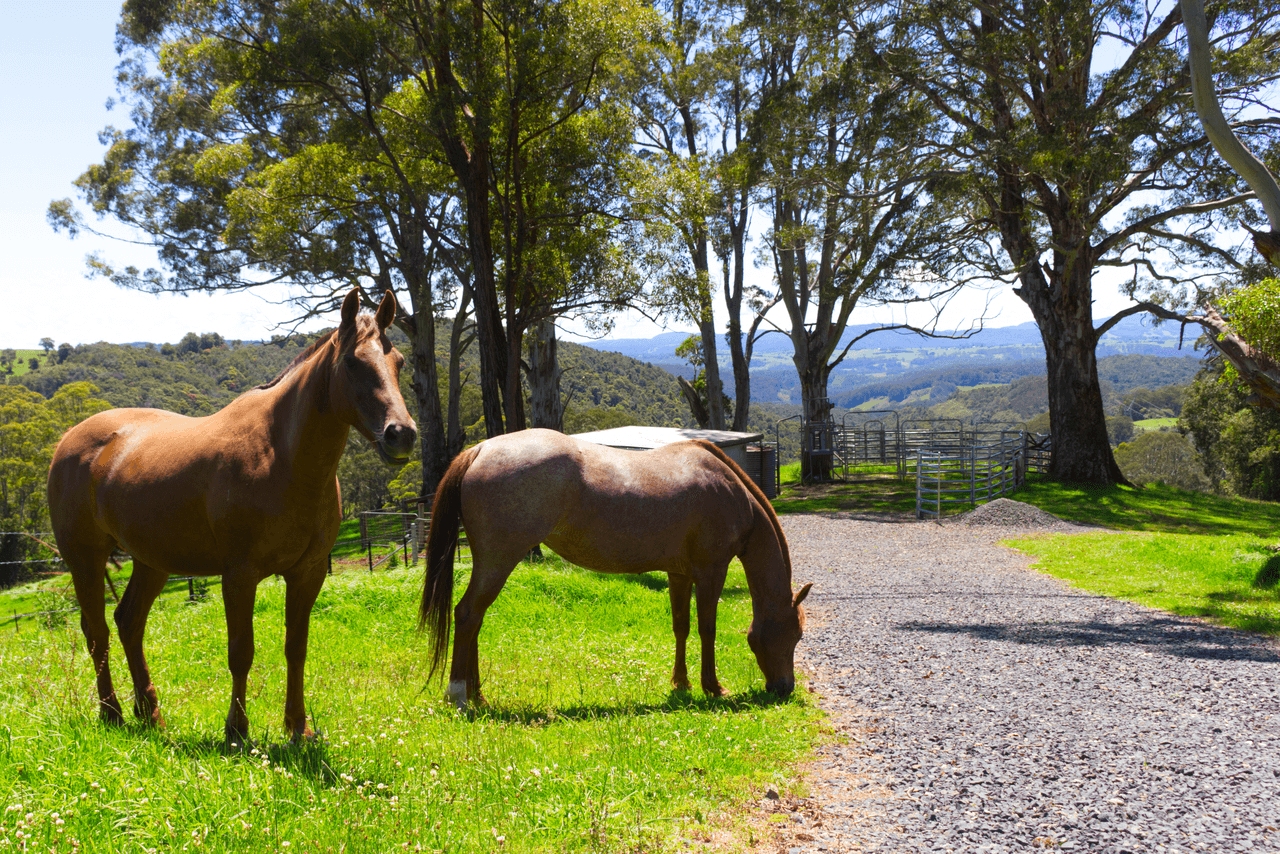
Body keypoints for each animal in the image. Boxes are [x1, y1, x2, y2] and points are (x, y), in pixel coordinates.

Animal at [43, 289, 414, 742]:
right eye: (351, 362)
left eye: (399, 362)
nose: (401, 434)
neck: (282, 456)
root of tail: (69, 440)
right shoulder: (239, 574)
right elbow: (241, 651)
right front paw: (236, 730)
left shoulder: (306, 573)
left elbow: (296, 647)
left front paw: (298, 728)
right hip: (85, 558)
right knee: (97, 631)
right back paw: (112, 714)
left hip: (153, 562)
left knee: (128, 622)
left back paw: (150, 715)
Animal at [424, 430, 814, 711]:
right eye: (795, 634)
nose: (784, 688)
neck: (731, 491)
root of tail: (480, 450)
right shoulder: (710, 572)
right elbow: (707, 630)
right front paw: (712, 687)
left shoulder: (680, 574)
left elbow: (681, 627)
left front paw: (681, 683)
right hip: (497, 562)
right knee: (468, 614)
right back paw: (460, 695)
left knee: (474, 619)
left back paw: (477, 695)